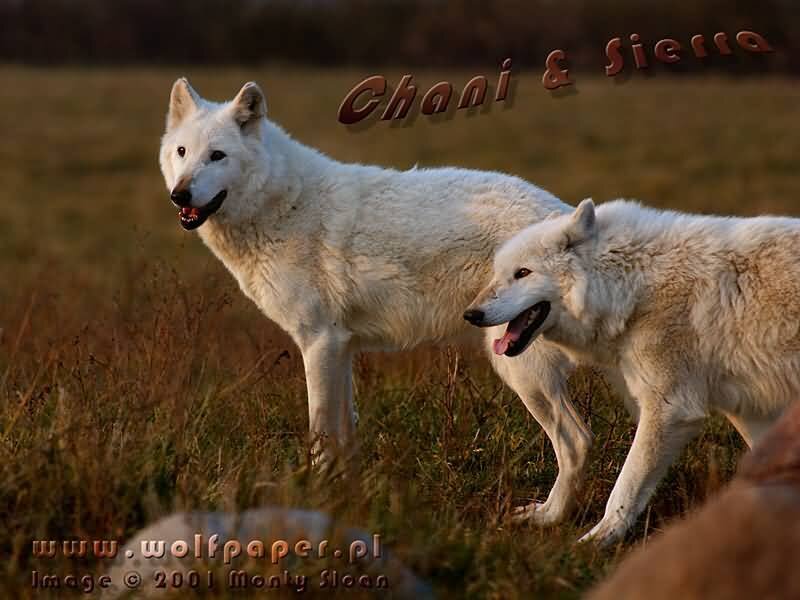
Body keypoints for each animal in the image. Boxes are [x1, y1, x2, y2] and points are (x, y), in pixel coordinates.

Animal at [158, 79, 594, 527]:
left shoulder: (319, 344)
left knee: (577, 442)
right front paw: (348, 496)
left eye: (217, 155)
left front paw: (316, 498)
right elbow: (344, 437)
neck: (283, 206)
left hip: (521, 370)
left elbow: (320, 434)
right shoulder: (340, 349)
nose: (180, 195)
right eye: (182, 152)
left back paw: (547, 518)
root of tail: (566, 217)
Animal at [465, 198, 800, 543]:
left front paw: (597, 539)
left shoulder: (670, 409)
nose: (471, 314)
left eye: (522, 273)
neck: (630, 285)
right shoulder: (748, 409)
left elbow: (625, 487)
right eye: (499, 274)